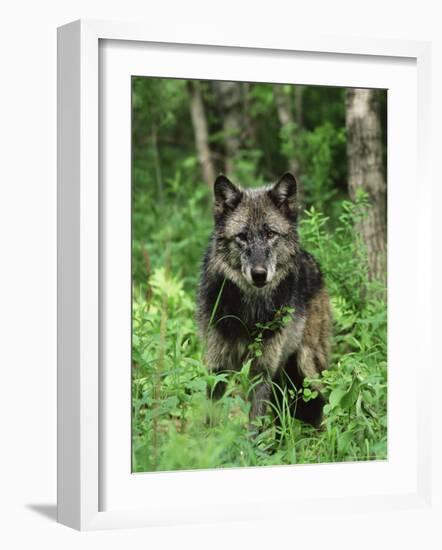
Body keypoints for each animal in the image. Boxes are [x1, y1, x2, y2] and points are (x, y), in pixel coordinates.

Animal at [197, 175, 332, 430]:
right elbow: (210, 418)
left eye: (270, 234)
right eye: (242, 236)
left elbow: (254, 426)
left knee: (325, 407)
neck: (247, 312)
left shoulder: (261, 371)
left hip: (307, 368)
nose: (259, 274)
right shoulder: (217, 366)